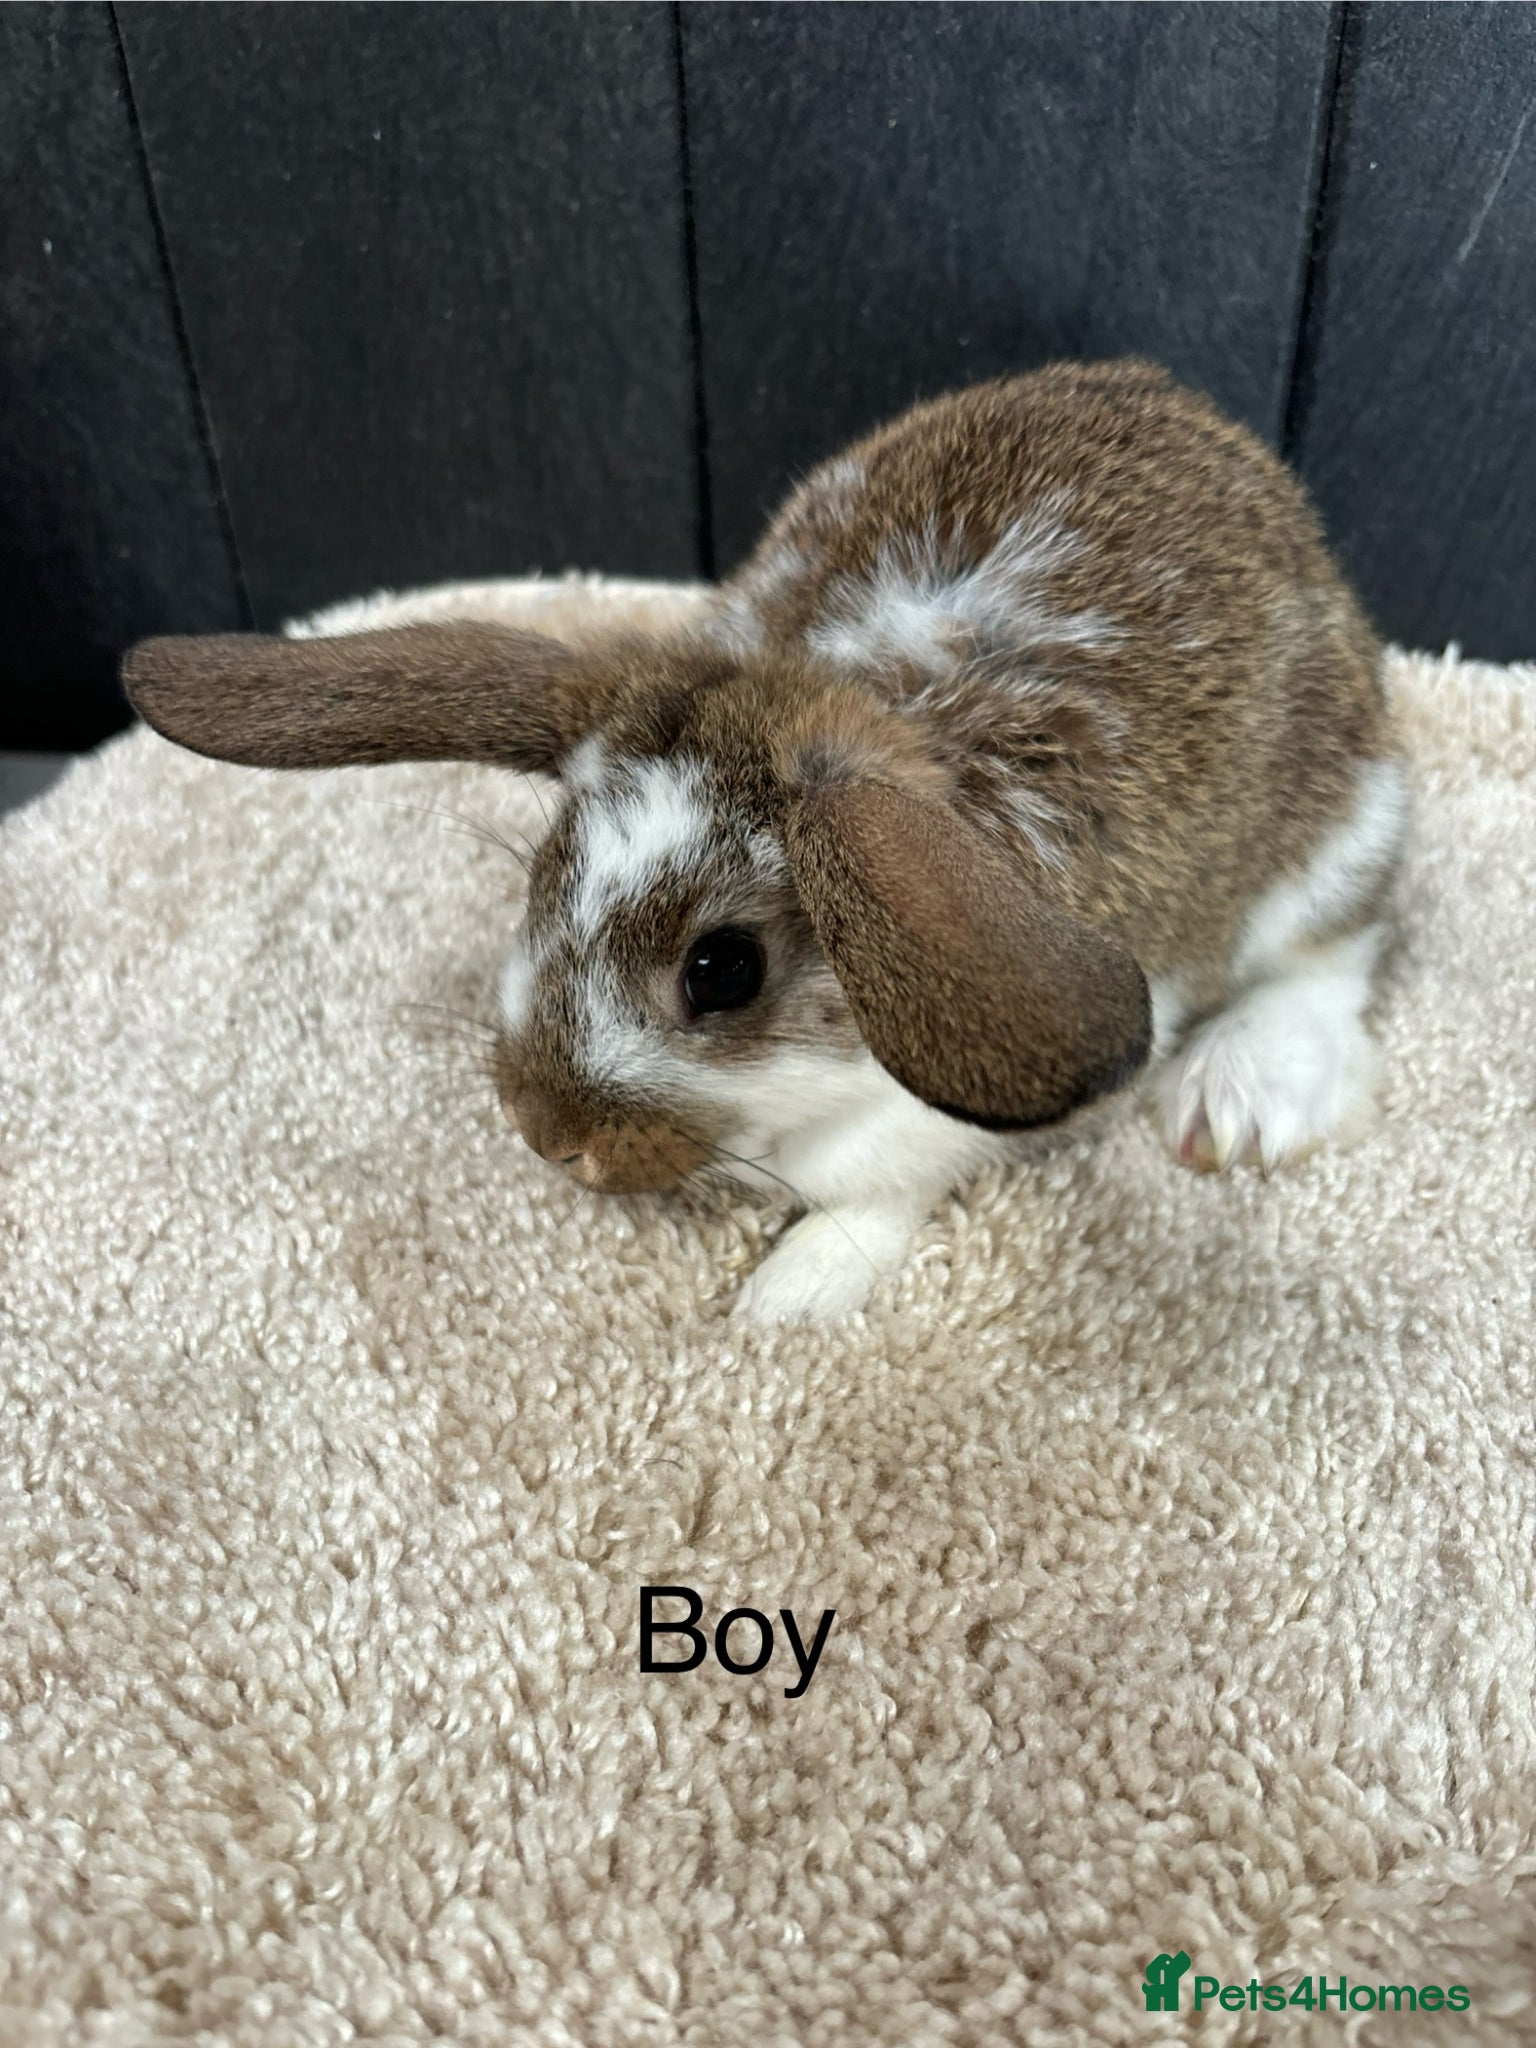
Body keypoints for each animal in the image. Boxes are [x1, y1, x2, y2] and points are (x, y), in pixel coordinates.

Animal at [123, 358, 1408, 1323]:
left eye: (722, 970)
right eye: (544, 873)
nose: (548, 1135)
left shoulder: (921, 1136)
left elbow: (873, 1207)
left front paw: (784, 1297)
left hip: (1330, 844)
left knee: (1335, 960)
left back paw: (1239, 1096)